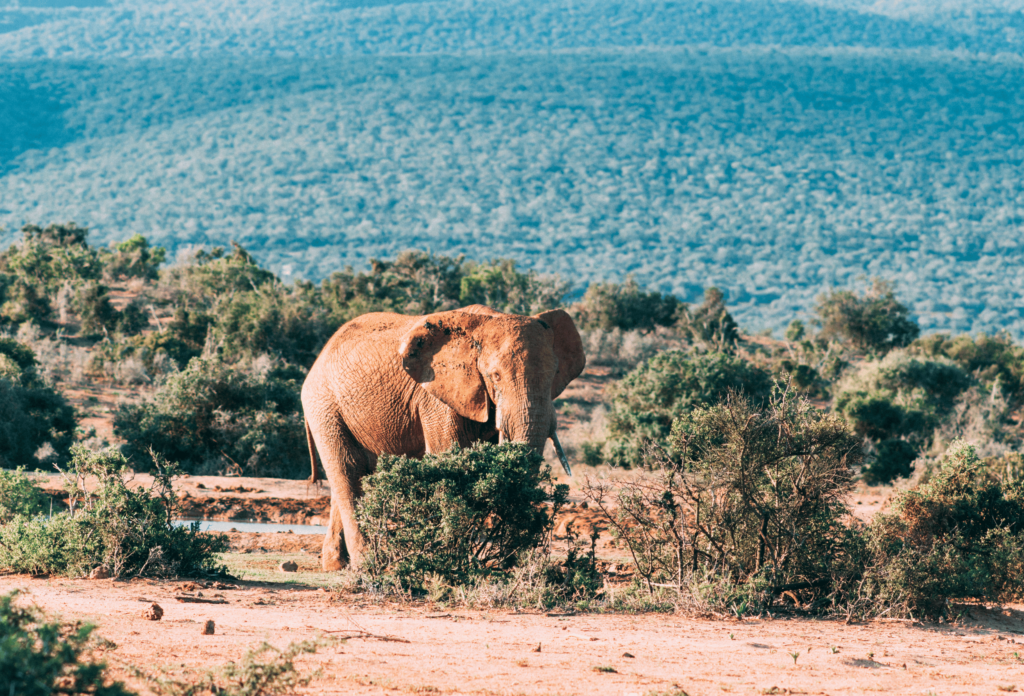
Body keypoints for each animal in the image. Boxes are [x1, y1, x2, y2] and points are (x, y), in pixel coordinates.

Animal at [301, 304, 587, 571]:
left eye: (553, 375)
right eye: (495, 376)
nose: (508, 563)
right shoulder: (437, 398)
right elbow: (450, 458)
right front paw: (450, 560)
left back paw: (337, 565)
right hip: (324, 406)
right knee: (347, 471)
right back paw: (368, 564)